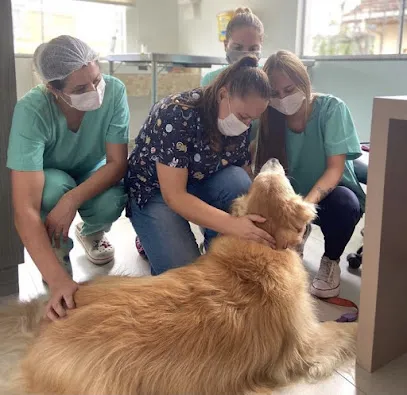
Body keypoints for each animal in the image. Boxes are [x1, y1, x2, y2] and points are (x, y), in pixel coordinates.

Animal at [0, 159, 356, 395]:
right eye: (273, 176)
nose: (272, 160)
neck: (260, 247)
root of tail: (41, 329)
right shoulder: (305, 342)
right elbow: (339, 331)